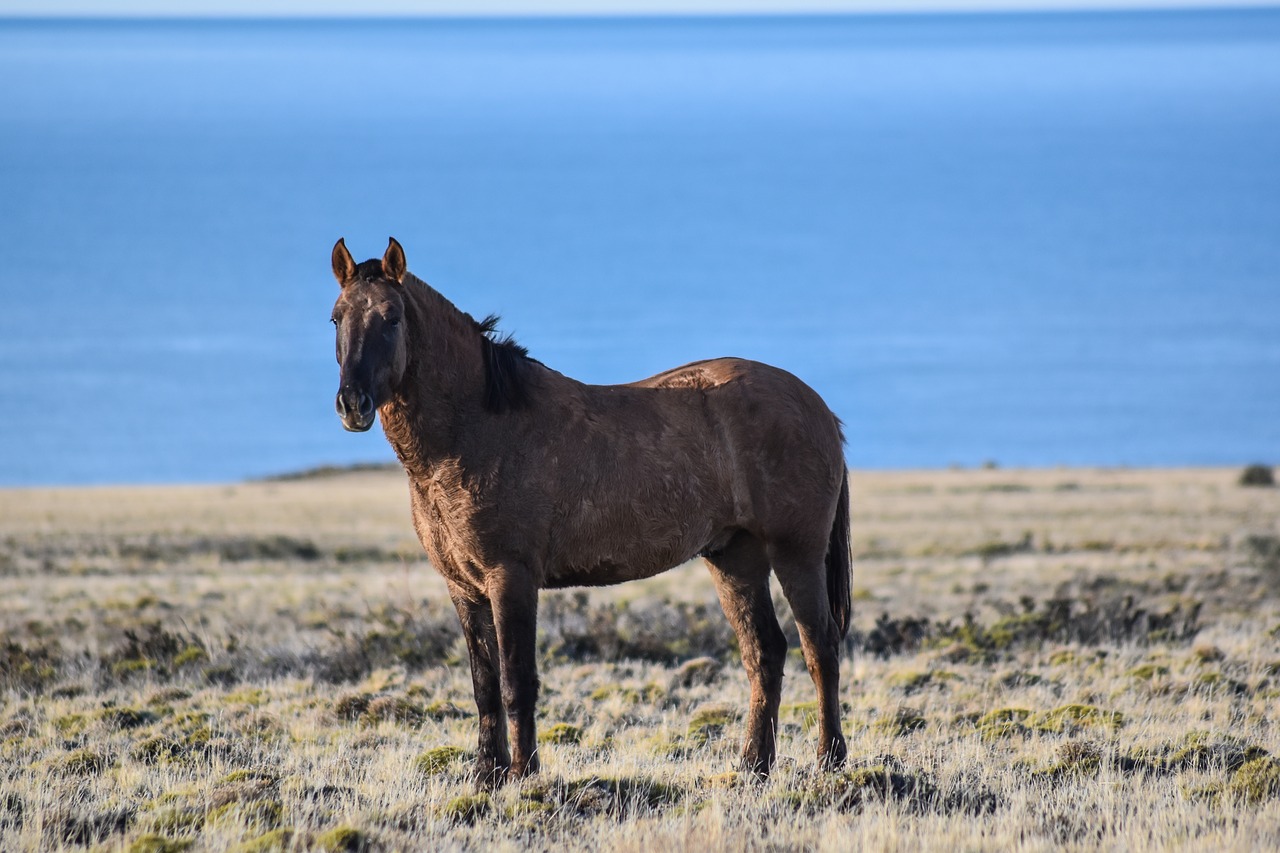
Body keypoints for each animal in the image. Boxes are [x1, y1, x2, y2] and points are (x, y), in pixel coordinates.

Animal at [327, 235, 849, 778]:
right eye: (336, 318)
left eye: (391, 318)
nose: (352, 404)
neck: (475, 429)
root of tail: (817, 406)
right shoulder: (463, 589)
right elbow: (483, 686)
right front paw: (486, 774)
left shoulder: (510, 579)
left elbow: (516, 682)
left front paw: (523, 774)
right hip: (734, 559)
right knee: (764, 653)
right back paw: (752, 764)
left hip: (796, 554)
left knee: (820, 648)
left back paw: (828, 759)